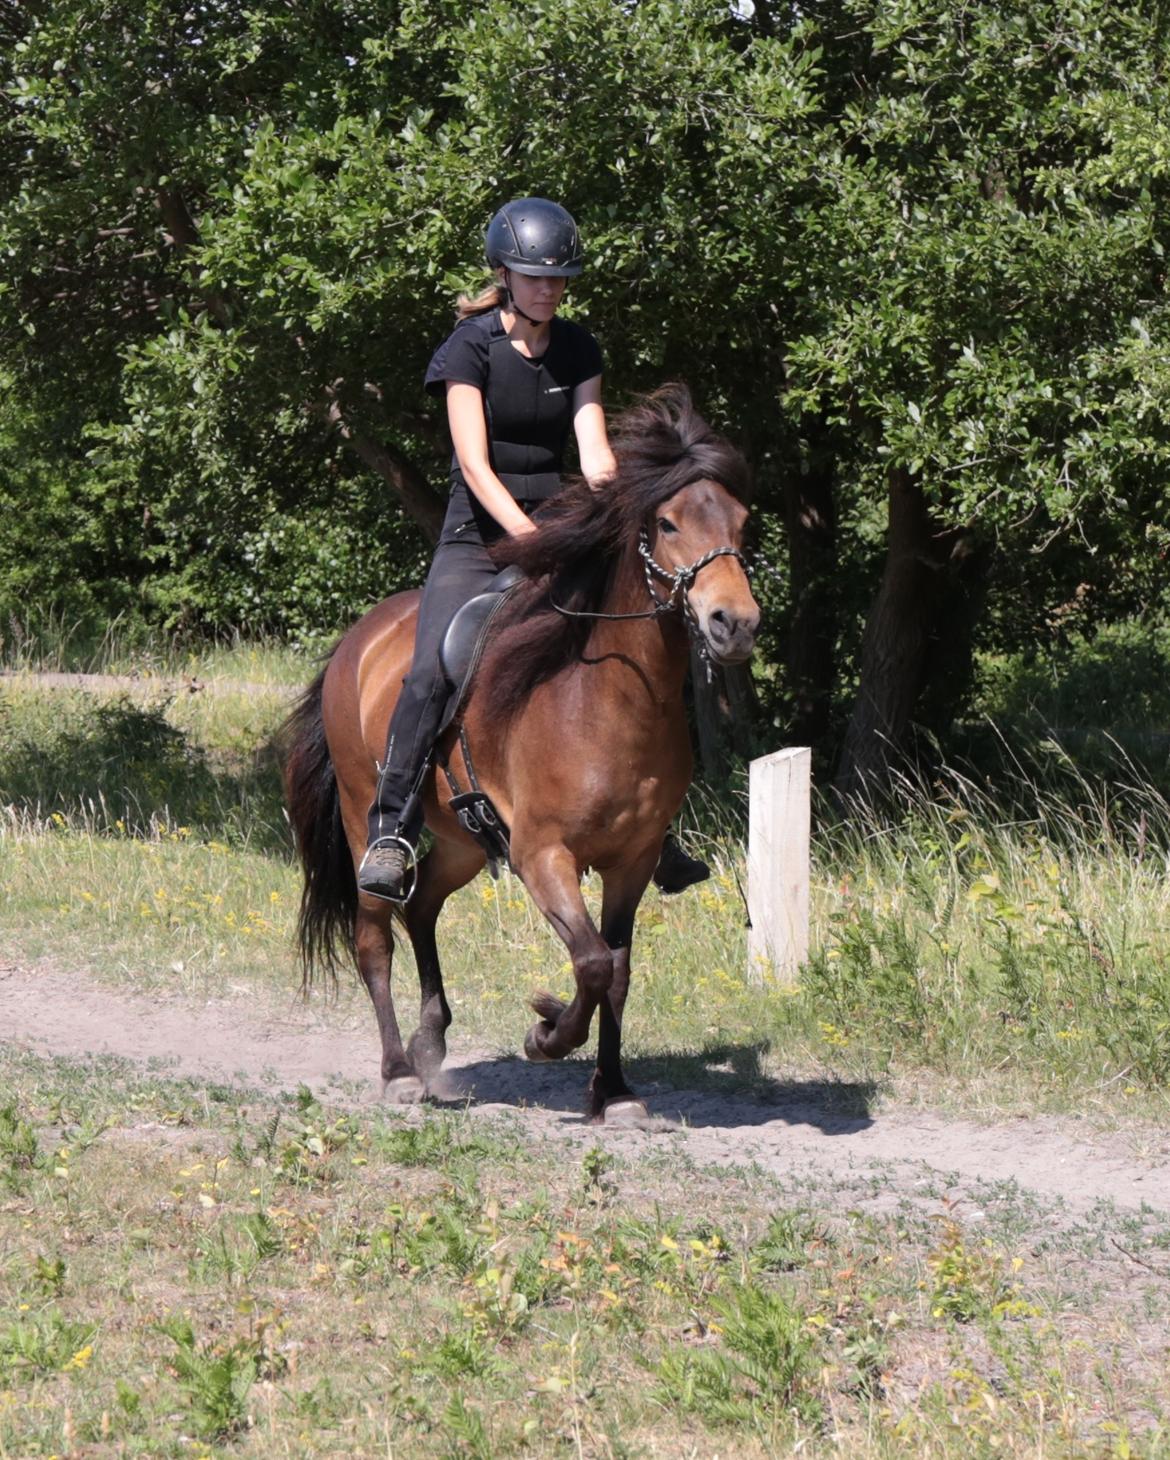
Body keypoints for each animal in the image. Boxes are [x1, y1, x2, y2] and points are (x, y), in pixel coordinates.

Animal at [281, 382, 759, 1121]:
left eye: (740, 521)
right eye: (669, 523)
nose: (734, 625)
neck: (604, 698)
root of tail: (357, 640)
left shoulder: (632, 861)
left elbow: (617, 971)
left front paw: (614, 1092)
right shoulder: (544, 856)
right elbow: (591, 963)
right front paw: (545, 1033)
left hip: (462, 842)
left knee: (422, 908)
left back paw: (430, 1039)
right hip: (367, 816)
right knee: (374, 936)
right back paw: (399, 1070)